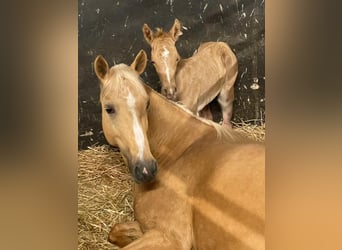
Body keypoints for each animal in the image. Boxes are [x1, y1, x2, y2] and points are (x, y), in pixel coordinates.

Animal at [93, 49, 264, 249]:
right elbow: (115, 232)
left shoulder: (169, 237)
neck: (179, 149)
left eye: (147, 104)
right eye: (109, 108)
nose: (146, 168)